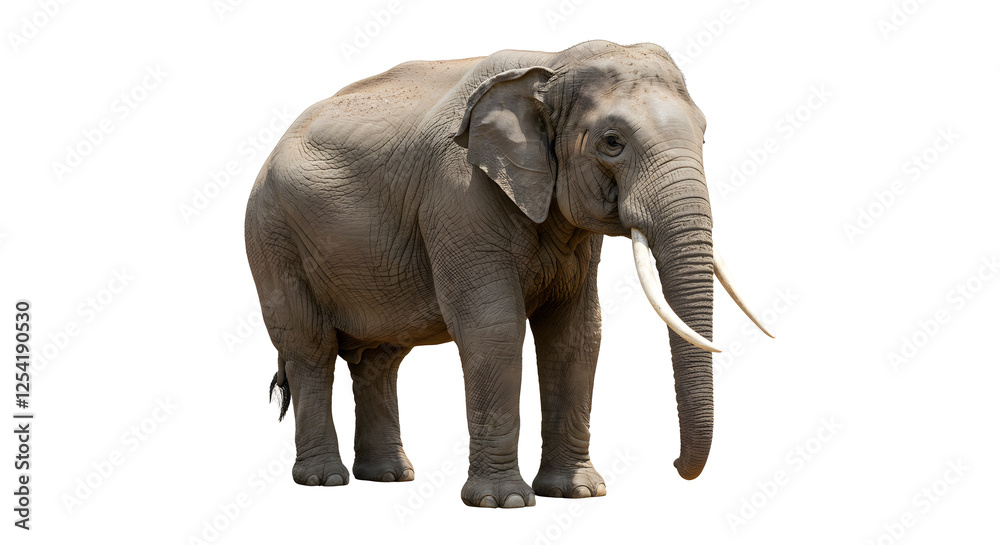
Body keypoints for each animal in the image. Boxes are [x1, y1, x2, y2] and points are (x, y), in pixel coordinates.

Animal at [244, 39, 771, 508]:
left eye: (704, 134)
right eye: (612, 143)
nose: (678, 467)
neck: (550, 65)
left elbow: (577, 333)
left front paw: (578, 493)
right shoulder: (458, 195)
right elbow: (493, 327)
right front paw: (504, 502)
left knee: (380, 358)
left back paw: (389, 477)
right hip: (272, 237)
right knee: (311, 350)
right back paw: (325, 480)